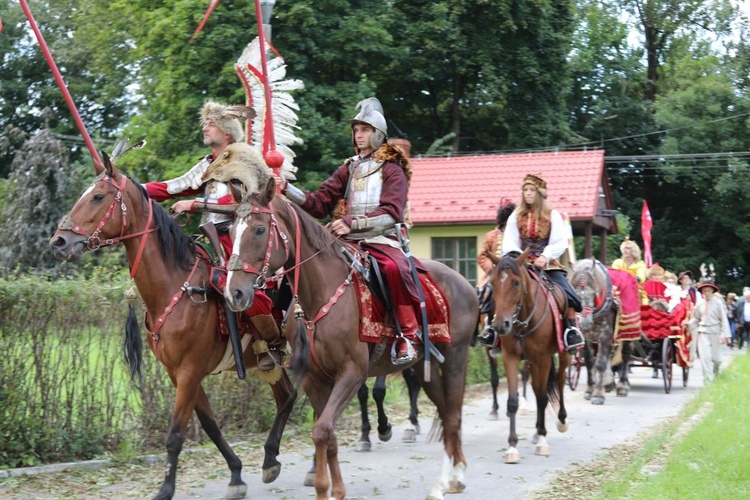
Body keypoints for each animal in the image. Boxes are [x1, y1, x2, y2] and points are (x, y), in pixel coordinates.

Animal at [48, 154, 296, 498]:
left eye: (98, 197)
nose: (59, 242)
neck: (175, 286)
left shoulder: (190, 372)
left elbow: (176, 434)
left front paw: (166, 488)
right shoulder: (178, 373)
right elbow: (210, 425)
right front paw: (235, 474)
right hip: (268, 362)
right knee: (287, 395)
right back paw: (271, 458)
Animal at [226, 183, 478, 500]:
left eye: (259, 230)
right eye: (231, 230)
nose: (234, 293)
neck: (320, 294)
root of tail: (465, 284)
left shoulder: (351, 373)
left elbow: (322, 430)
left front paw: (326, 488)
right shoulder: (314, 378)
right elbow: (327, 434)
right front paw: (334, 489)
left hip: (455, 358)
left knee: (453, 417)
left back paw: (453, 478)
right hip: (425, 367)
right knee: (445, 413)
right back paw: (447, 479)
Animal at [488, 250, 568, 464]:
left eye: (516, 282)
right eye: (493, 282)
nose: (500, 325)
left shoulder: (543, 358)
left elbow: (542, 397)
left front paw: (542, 441)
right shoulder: (511, 357)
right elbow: (513, 401)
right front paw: (512, 447)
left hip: (564, 354)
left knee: (560, 380)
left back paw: (560, 420)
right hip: (531, 362)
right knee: (536, 386)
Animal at [572, 258, 632, 402]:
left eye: (593, 293)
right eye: (575, 295)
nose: (585, 323)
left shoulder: (605, 335)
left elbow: (600, 363)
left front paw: (598, 395)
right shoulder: (586, 337)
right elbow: (590, 362)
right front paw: (590, 390)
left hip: (626, 332)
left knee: (625, 355)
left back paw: (622, 386)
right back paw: (609, 383)